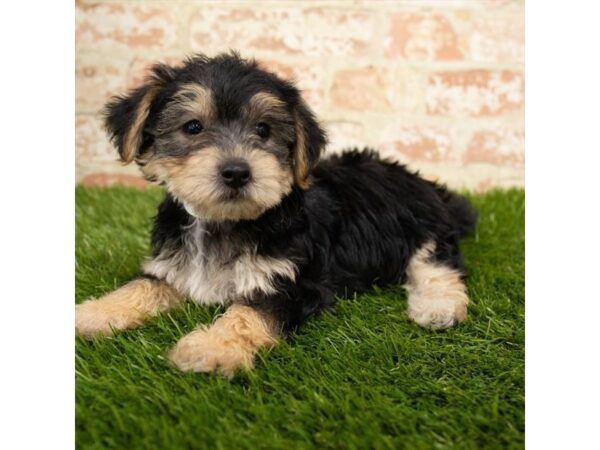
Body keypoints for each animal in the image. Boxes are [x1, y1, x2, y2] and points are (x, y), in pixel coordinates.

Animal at [76, 51, 478, 376]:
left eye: (263, 129)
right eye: (192, 127)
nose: (237, 172)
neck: (226, 222)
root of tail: (422, 181)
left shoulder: (290, 282)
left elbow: (247, 314)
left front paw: (211, 347)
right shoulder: (173, 267)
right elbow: (140, 286)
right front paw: (92, 314)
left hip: (424, 224)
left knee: (437, 262)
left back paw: (438, 308)